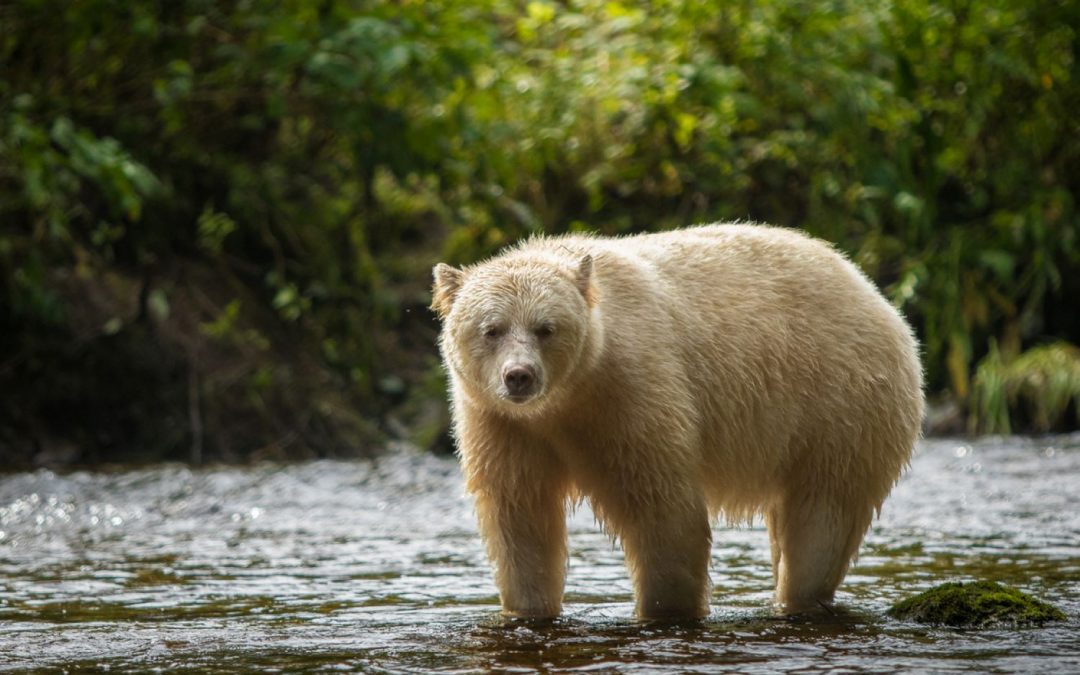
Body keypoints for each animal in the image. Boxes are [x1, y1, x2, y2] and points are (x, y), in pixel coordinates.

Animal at [431, 223, 924, 619]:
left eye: (545, 328)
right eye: (491, 329)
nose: (519, 376)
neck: (568, 399)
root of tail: (875, 294)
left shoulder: (632, 390)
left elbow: (661, 507)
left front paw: (664, 608)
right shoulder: (501, 423)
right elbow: (519, 517)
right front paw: (527, 607)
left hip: (839, 404)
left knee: (822, 519)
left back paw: (798, 597)